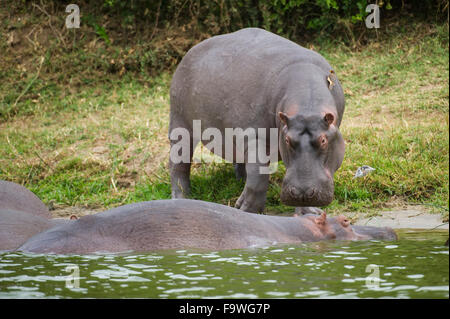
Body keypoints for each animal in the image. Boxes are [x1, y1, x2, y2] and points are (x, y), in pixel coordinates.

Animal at [168, 26, 344, 212]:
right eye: (287, 140)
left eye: (323, 140)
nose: (301, 193)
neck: (307, 104)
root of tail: (191, 50)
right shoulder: (253, 136)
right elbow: (258, 177)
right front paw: (246, 210)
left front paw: (310, 212)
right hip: (180, 123)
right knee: (178, 164)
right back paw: (181, 198)